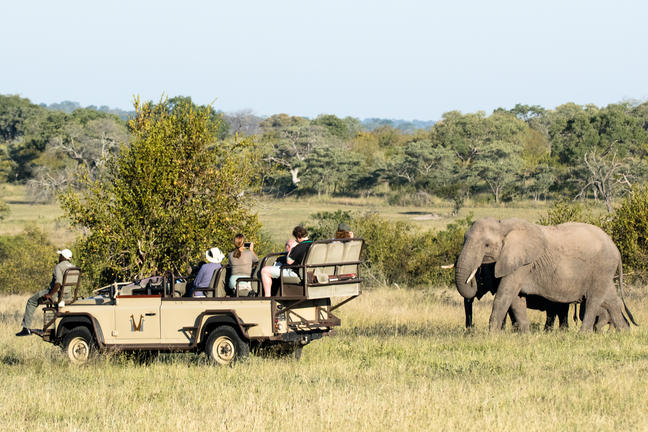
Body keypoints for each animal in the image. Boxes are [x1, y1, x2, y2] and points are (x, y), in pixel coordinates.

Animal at [454, 218, 636, 332]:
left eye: (486, 245)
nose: (470, 329)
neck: (503, 225)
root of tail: (615, 248)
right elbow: (516, 300)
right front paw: (524, 336)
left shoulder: (522, 262)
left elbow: (504, 296)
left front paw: (492, 336)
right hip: (604, 272)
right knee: (611, 301)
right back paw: (624, 334)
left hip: (601, 267)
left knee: (593, 300)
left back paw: (583, 334)